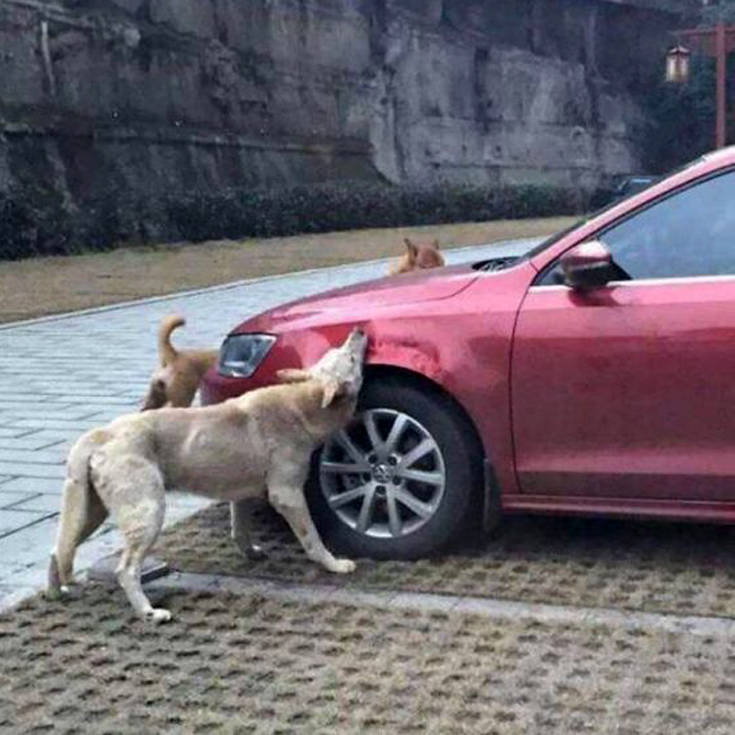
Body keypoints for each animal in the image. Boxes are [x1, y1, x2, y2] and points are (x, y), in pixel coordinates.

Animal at [48, 328, 368, 622]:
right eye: (350, 357)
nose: (359, 331)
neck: (302, 401)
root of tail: (102, 433)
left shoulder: (242, 494)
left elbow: (240, 530)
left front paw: (251, 552)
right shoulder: (287, 495)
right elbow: (312, 538)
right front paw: (334, 564)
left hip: (89, 512)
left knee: (58, 550)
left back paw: (57, 593)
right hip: (148, 511)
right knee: (125, 570)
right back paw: (148, 612)